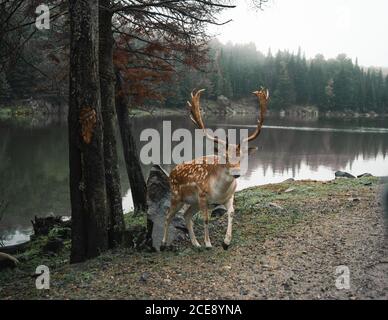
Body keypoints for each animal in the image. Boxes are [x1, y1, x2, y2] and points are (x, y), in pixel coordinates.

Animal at [161, 87, 270, 250]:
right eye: (225, 157)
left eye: (242, 157)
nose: (236, 173)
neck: (219, 191)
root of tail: (171, 173)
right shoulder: (202, 196)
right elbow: (206, 219)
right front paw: (208, 243)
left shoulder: (229, 197)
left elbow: (231, 213)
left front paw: (226, 242)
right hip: (176, 196)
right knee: (168, 215)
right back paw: (163, 244)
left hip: (192, 202)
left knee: (186, 215)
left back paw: (196, 243)